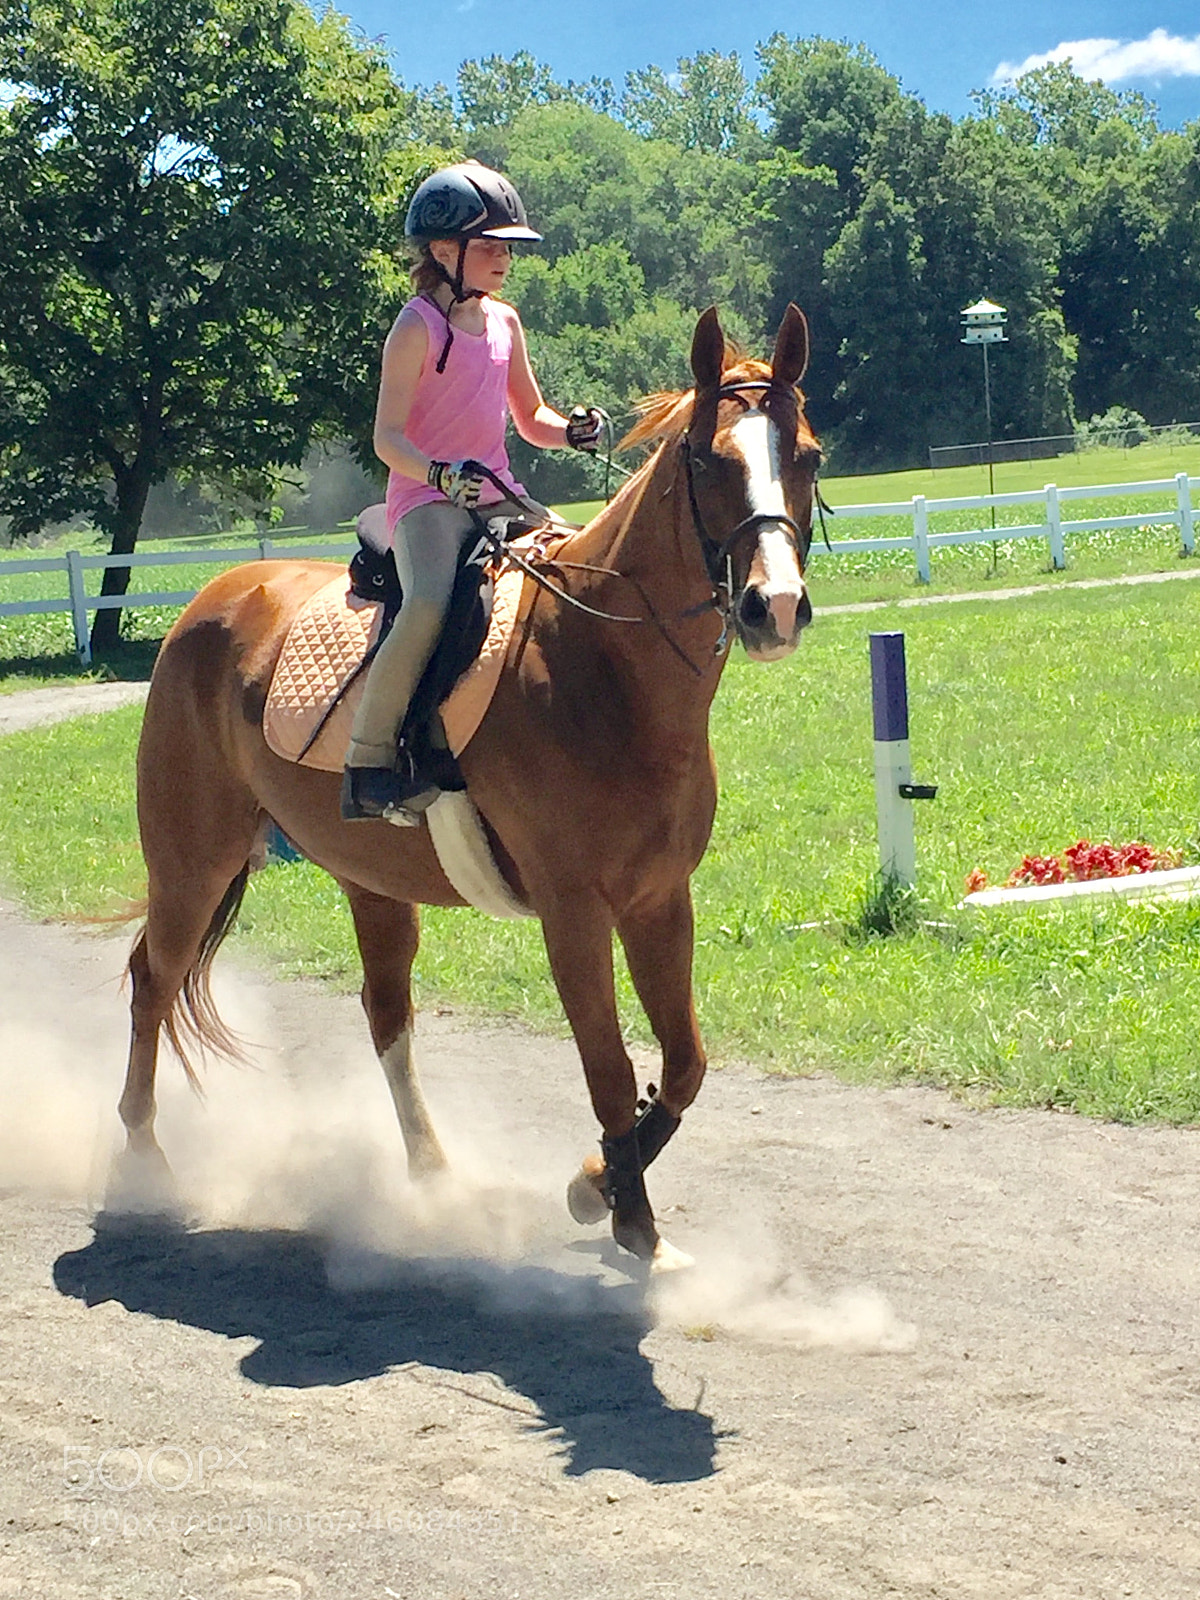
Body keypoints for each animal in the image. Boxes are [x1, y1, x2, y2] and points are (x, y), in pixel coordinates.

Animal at [118, 304, 822, 1268]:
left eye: (809, 457)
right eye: (709, 460)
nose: (773, 607)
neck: (599, 665)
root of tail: (215, 595)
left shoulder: (658, 899)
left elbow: (685, 1063)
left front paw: (599, 1184)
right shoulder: (574, 912)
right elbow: (608, 1070)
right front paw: (632, 1222)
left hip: (368, 882)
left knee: (386, 1017)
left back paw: (432, 1177)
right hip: (194, 863)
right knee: (153, 980)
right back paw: (144, 1159)